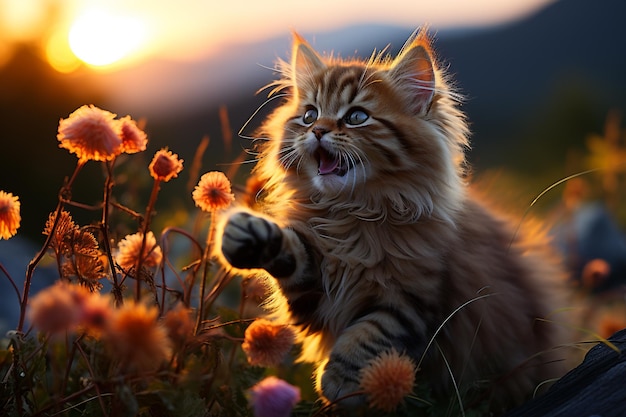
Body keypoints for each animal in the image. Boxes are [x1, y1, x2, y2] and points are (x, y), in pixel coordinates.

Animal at [217, 30, 568, 412]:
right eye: (309, 115)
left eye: (356, 117)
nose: (318, 131)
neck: (351, 216)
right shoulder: (311, 293)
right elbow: (290, 250)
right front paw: (245, 234)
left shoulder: (413, 297)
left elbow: (370, 333)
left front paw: (340, 382)